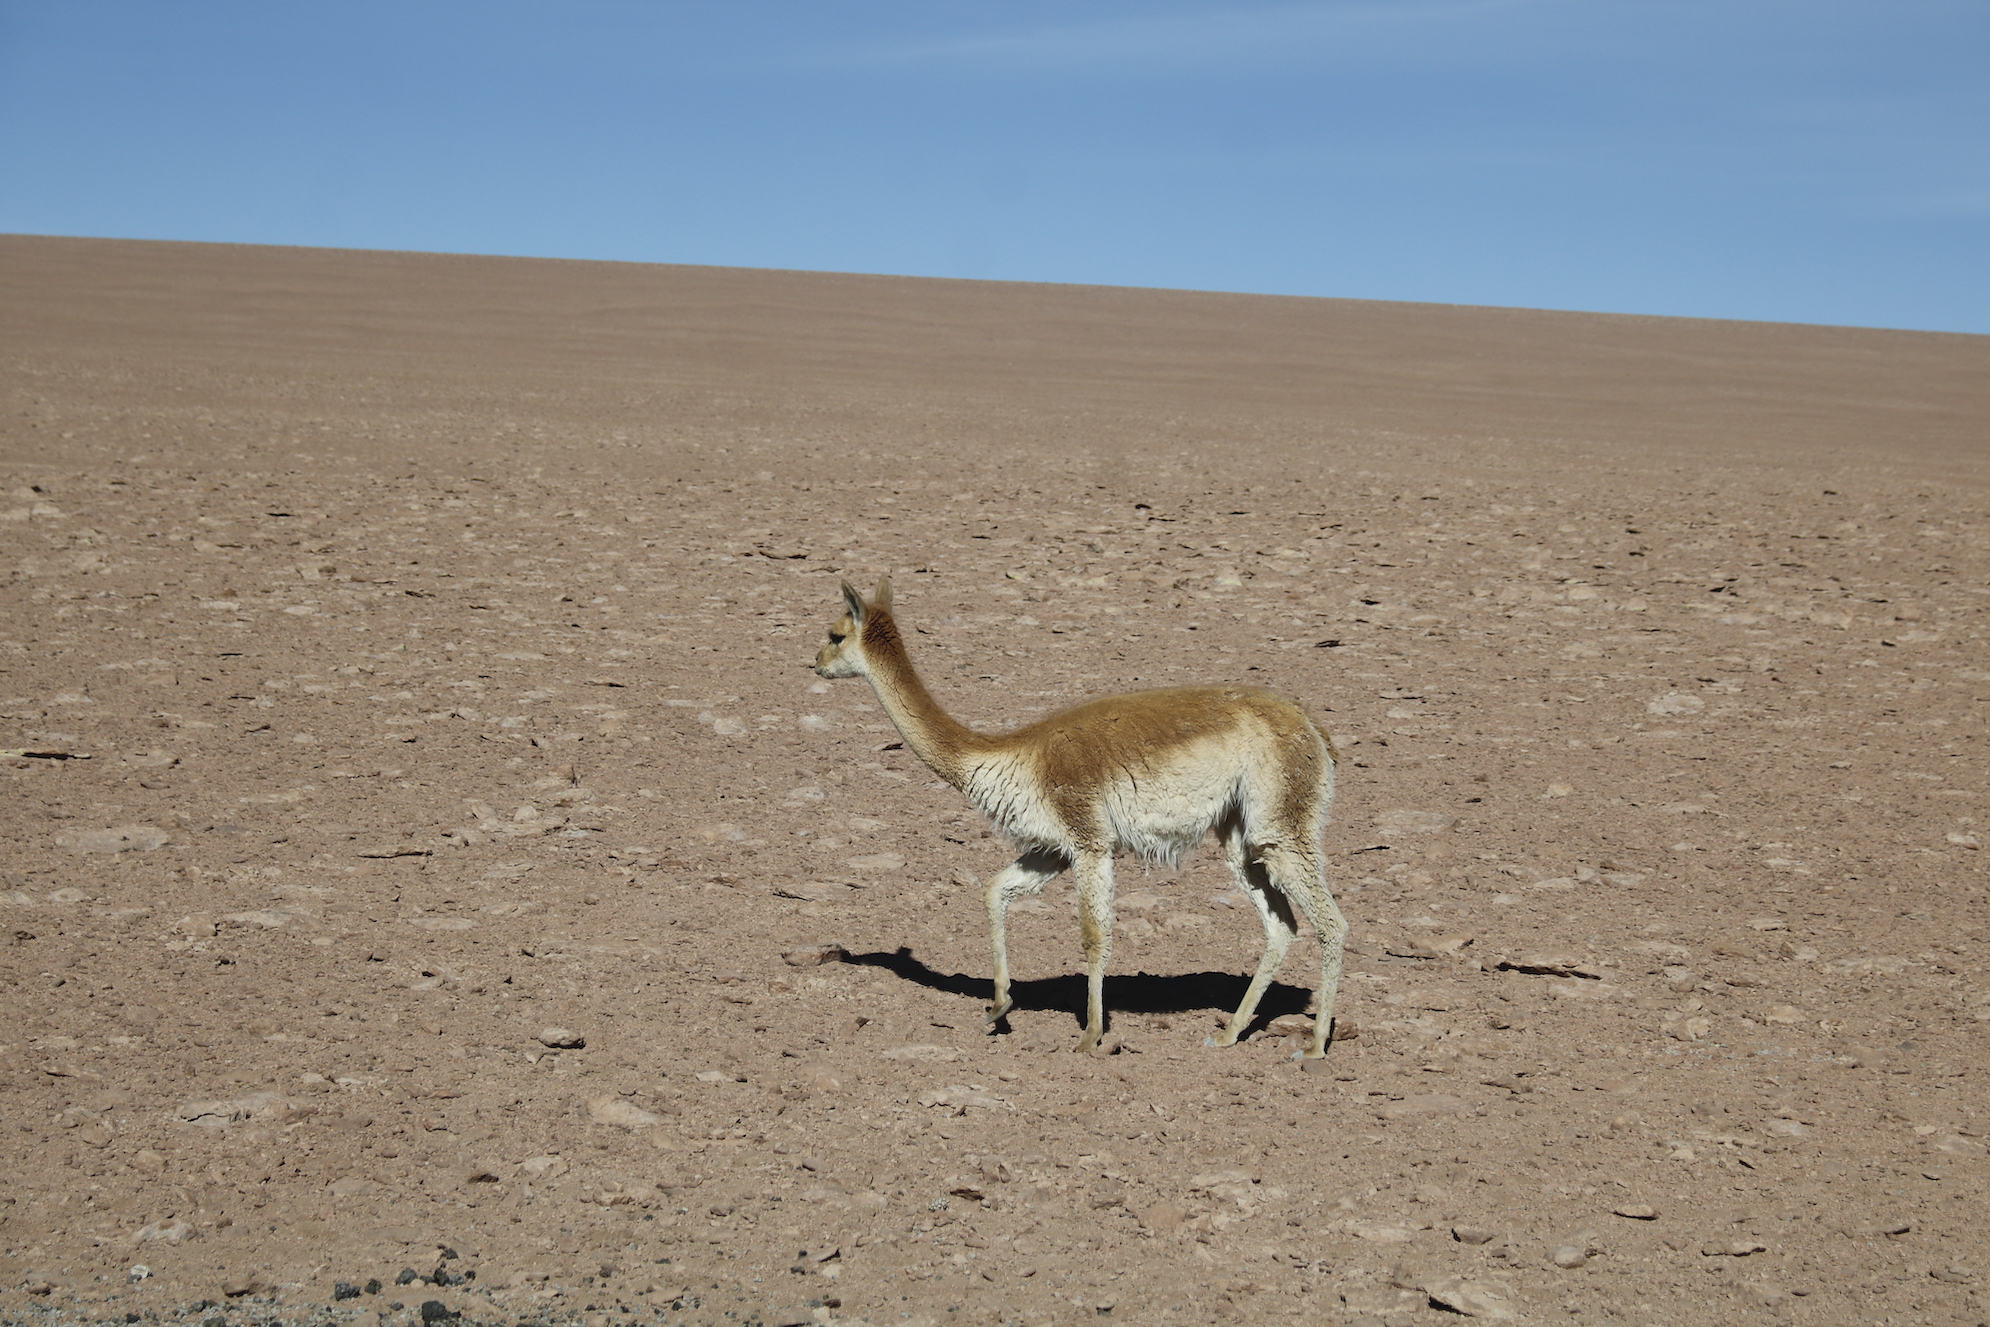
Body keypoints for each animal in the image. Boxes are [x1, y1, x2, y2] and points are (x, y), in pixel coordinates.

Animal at [812, 578, 1347, 1057]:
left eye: (835, 634)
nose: (813, 663)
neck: (1007, 756)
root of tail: (1313, 728)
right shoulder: (1051, 848)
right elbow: (994, 891)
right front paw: (999, 1005)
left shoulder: (1089, 838)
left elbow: (1093, 934)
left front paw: (1090, 1035)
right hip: (1240, 837)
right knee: (1282, 926)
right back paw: (1230, 1032)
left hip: (1281, 824)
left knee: (1332, 923)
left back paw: (1315, 1044)